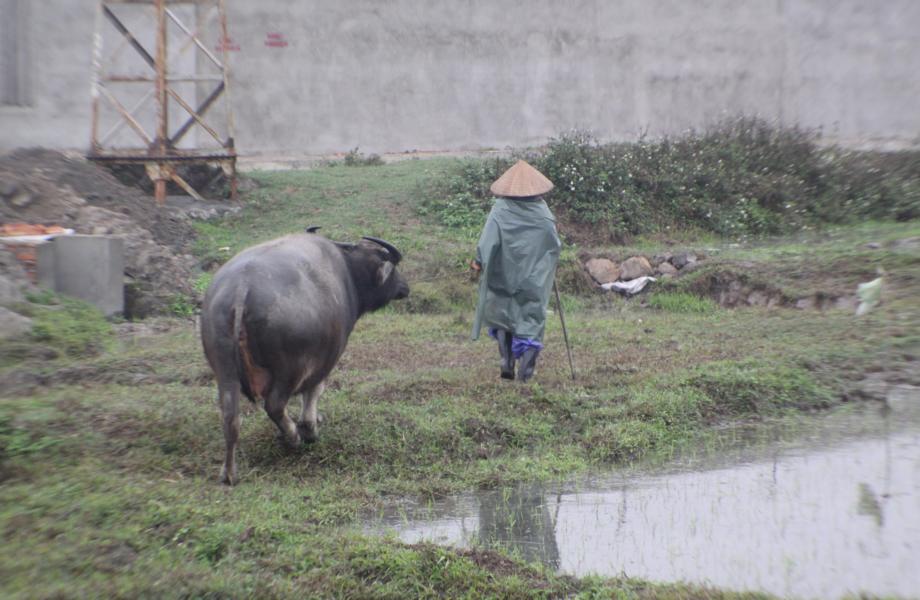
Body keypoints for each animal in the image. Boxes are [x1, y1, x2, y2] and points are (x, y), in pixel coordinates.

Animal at [201, 227, 410, 486]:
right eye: (393, 268)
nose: (405, 287)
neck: (348, 272)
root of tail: (241, 289)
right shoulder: (324, 360)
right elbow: (314, 392)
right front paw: (309, 428)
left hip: (224, 370)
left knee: (230, 417)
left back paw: (229, 472)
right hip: (290, 369)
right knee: (275, 405)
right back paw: (293, 437)